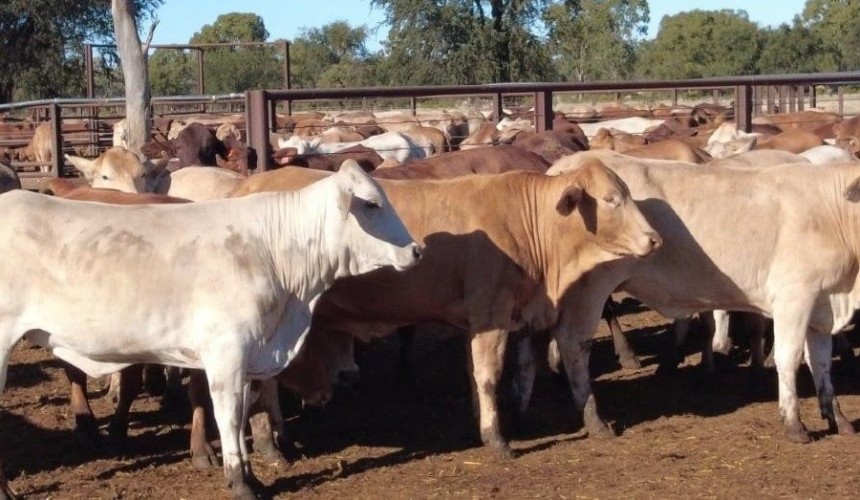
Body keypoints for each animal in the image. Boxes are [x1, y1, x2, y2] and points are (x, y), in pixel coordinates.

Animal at [0, 161, 422, 498]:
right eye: (371, 204)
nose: (416, 250)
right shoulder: (226, 354)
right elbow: (229, 417)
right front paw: (239, 483)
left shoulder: (248, 357)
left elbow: (244, 411)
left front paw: (252, 475)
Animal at [228, 161, 661, 455]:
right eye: (611, 200)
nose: (654, 239)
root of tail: (248, 183)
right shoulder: (491, 315)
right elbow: (488, 375)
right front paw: (496, 438)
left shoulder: (492, 318)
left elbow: (486, 372)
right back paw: (271, 447)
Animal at [541, 149, 860, 445]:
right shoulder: (794, 297)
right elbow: (789, 358)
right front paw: (794, 423)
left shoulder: (821, 305)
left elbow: (821, 363)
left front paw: (837, 417)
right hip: (589, 289)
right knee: (574, 344)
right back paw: (594, 419)